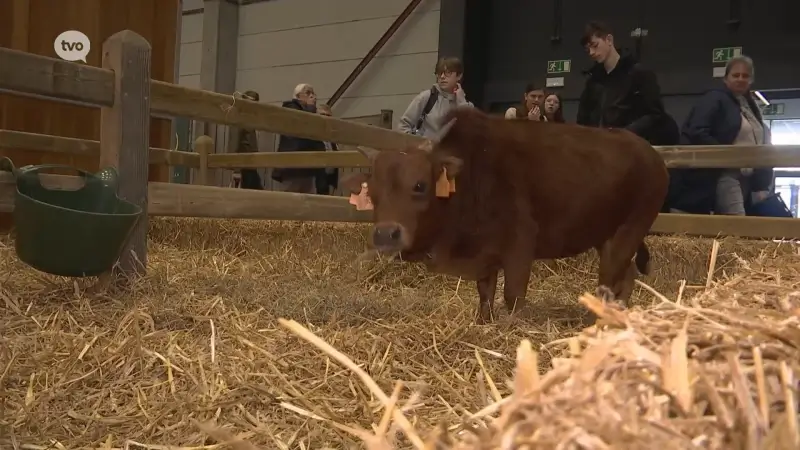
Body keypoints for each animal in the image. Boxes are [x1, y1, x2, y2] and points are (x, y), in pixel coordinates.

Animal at [344, 107, 668, 322]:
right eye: (372, 190)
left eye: (420, 185)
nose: (386, 234)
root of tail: (651, 153)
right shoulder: (486, 254)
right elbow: (485, 294)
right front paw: (483, 322)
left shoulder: (520, 246)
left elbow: (512, 298)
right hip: (607, 236)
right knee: (626, 277)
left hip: (628, 231)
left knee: (610, 282)